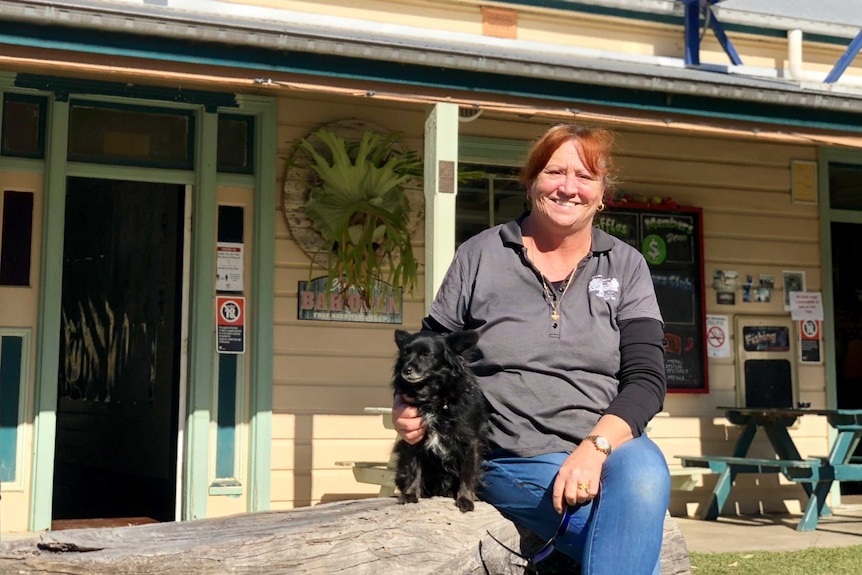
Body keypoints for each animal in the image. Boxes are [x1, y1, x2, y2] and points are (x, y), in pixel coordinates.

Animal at [394, 328, 490, 512]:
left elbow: (467, 473)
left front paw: (465, 499)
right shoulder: (414, 438)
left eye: (426, 354)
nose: (406, 370)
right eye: (405, 354)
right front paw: (410, 493)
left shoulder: (469, 441)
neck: (434, 399)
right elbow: (414, 468)